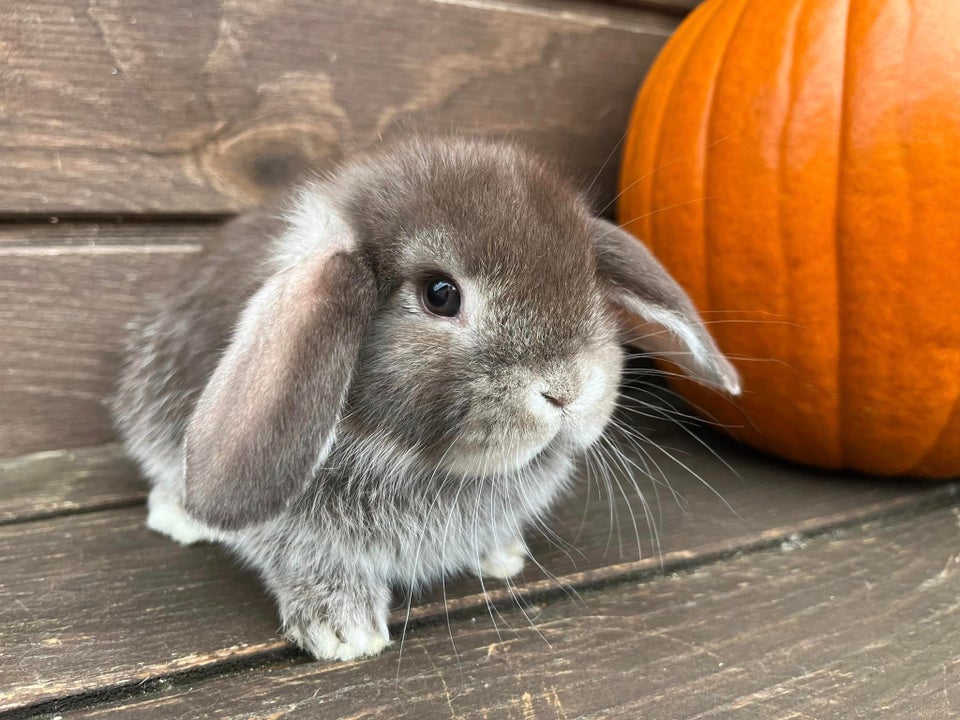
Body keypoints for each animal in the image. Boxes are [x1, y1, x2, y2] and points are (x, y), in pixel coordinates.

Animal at [114, 132, 744, 660]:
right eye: (440, 294)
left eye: (588, 278)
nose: (568, 389)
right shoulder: (293, 530)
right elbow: (299, 555)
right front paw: (344, 630)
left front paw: (501, 554)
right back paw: (179, 516)